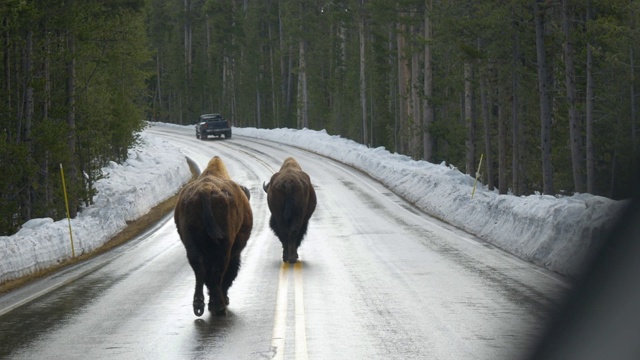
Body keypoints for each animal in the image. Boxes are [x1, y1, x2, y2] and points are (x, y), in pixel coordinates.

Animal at [176, 155, 256, 316]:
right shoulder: (234, 251)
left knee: (200, 271)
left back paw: (199, 305)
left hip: (191, 246)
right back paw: (219, 306)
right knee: (218, 272)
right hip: (224, 248)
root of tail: (205, 190)